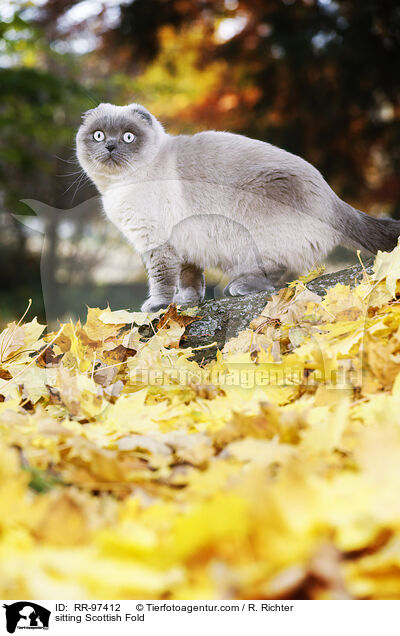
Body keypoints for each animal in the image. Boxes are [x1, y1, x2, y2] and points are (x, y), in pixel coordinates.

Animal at [76, 102, 400, 314]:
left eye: (128, 137)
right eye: (99, 135)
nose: (110, 147)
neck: (117, 187)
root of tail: (333, 200)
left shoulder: (158, 243)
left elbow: (161, 279)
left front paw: (156, 306)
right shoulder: (184, 244)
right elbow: (189, 278)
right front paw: (187, 302)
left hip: (244, 225)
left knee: (275, 271)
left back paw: (238, 287)